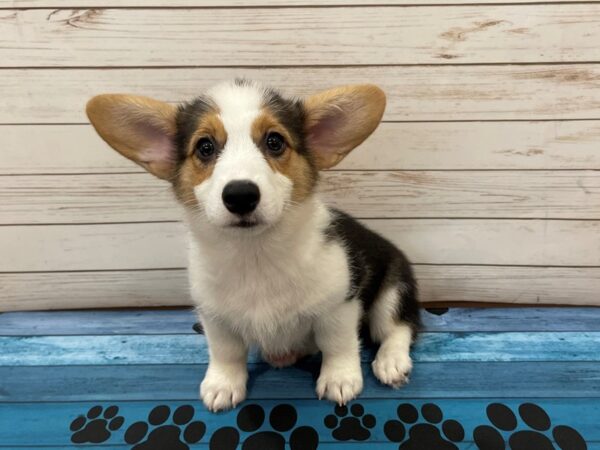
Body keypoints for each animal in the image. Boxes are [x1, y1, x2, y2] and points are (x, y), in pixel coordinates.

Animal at [86, 80, 420, 412]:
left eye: (274, 142)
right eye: (205, 147)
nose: (240, 195)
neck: (254, 254)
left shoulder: (339, 304)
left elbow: (337, 344)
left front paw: (340, 379)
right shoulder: (215, 317)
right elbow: (226, 352)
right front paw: (222, 384)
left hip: (393, 289)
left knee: (399, 327)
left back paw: (390, 362)